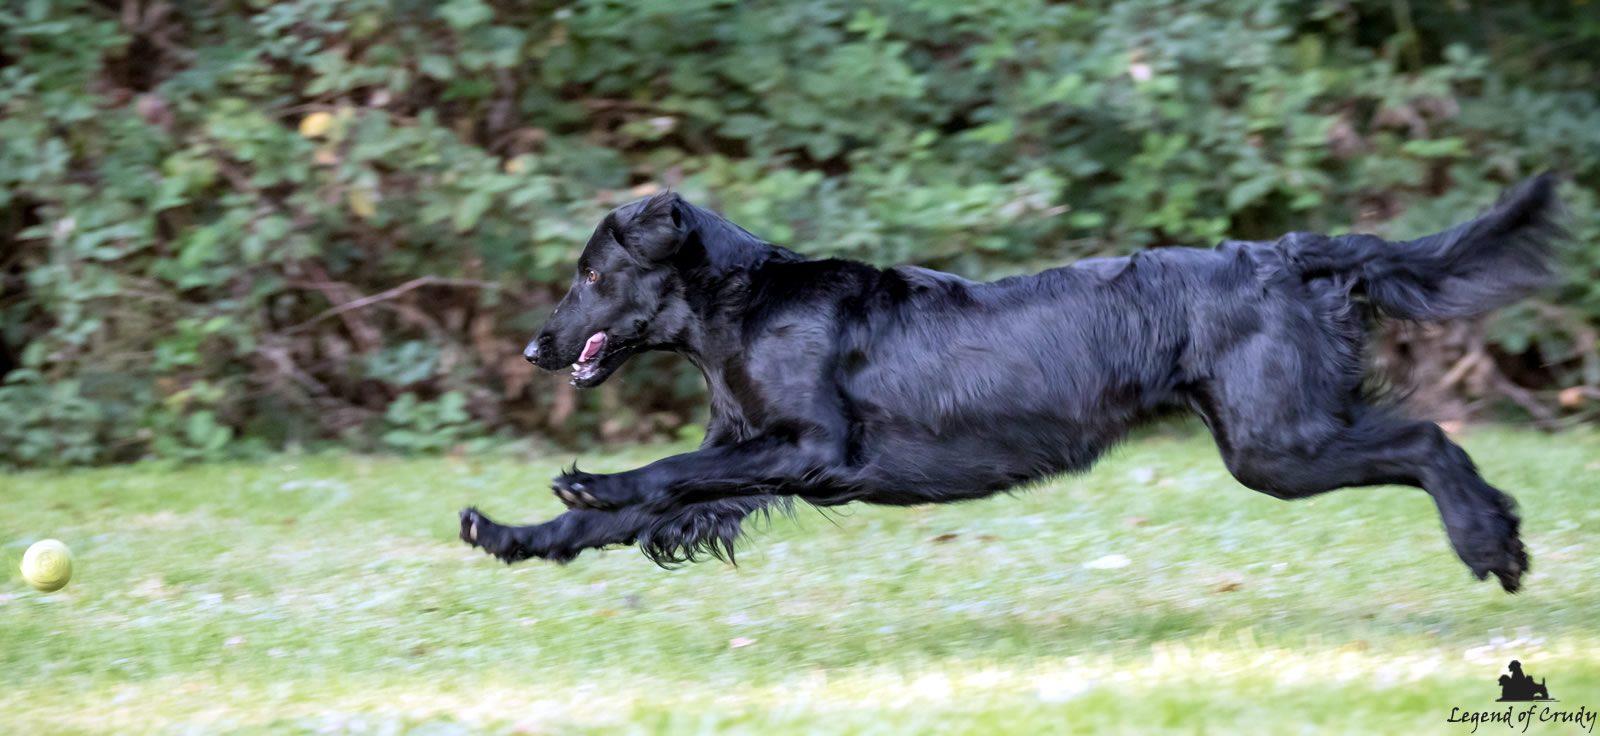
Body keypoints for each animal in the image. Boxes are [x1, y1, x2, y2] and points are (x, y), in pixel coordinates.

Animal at [464, 173, 1561, 592]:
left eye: (590, 275)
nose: (531, 352)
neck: (744, 305)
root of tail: (1289, 255)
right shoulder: (745, 460)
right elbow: (645, 506)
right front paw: (515, 534)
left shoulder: (809, 447)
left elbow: (655, 475)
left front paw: (589, 479)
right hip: (1276, 438)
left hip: (1274, 444)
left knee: (1428, 438)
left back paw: (1491, 541)